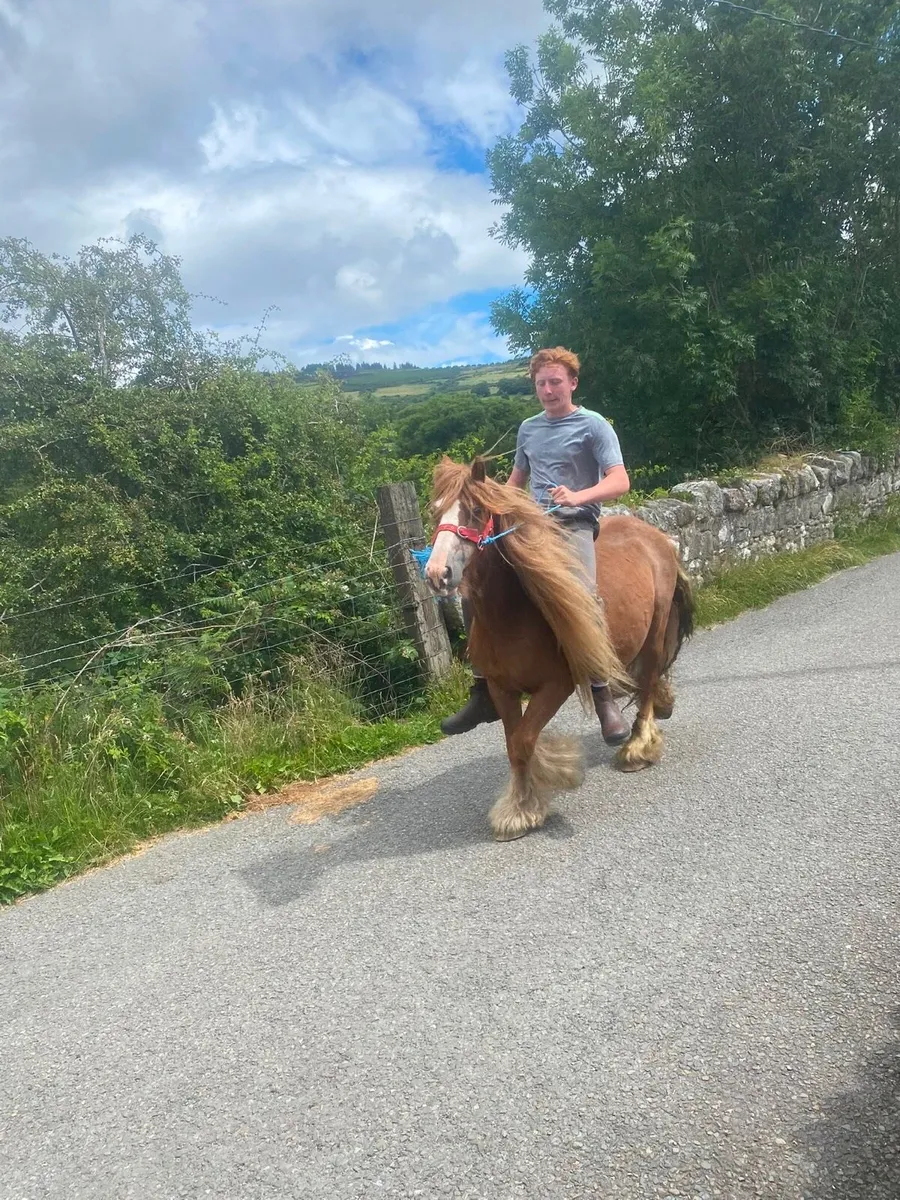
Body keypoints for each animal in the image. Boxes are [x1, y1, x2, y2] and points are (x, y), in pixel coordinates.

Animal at [424, 456, 694, 841]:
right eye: (435, 511)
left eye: (475, 511)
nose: (437, 574)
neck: (514, 615)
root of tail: (656, 536)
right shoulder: (501, 688)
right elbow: (515, 745)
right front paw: (522, 803)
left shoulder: (556, 685)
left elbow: (524, 740)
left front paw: (529, 801)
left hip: (655, 633)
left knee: (647, 685)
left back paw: (636, 747)